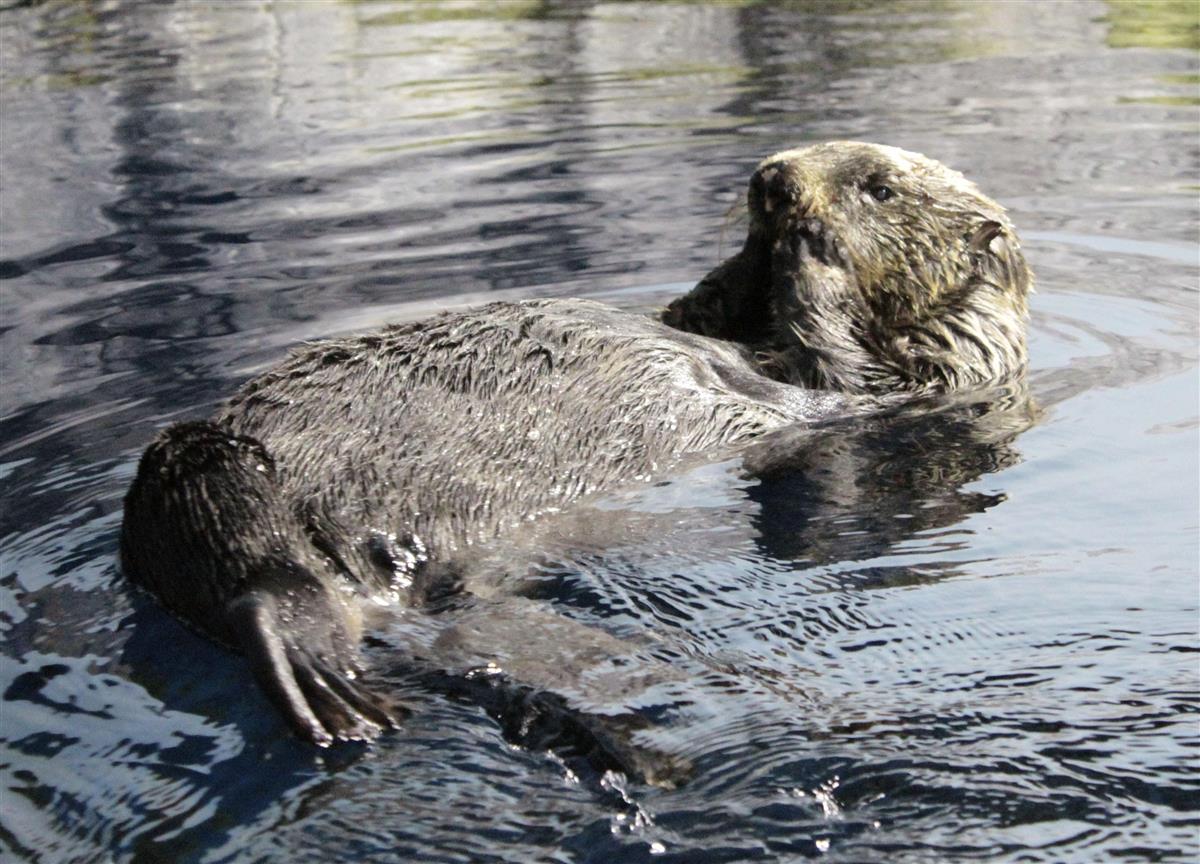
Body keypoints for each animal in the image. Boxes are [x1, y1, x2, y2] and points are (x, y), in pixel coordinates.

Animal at [119, 141, 1032, 758]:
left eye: (879, 187)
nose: (774, 179)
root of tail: (377, 593)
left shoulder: (915, 380)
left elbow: (831, 356)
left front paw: (810, 252)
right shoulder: (716, 324)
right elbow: (700, 307)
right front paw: (757, 247)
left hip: (212, 485)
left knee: (263, 590)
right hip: (206, 464)